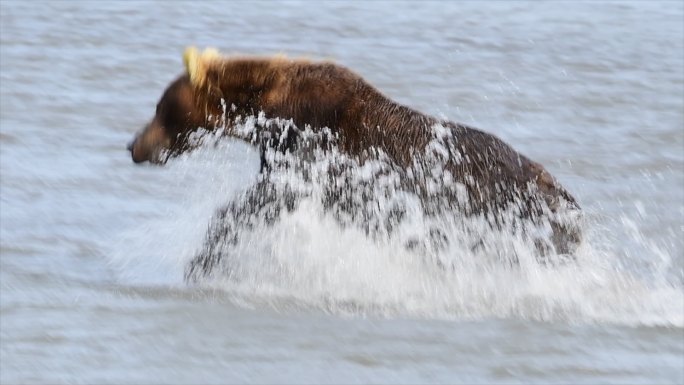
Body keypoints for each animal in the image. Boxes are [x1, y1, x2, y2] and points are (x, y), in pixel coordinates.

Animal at [130, 47, 584, 276]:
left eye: (160, 107)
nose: (134, 145)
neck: (273, 110)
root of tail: (567, 197)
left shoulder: (320, 149)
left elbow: (264, 202)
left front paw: (207, 255)